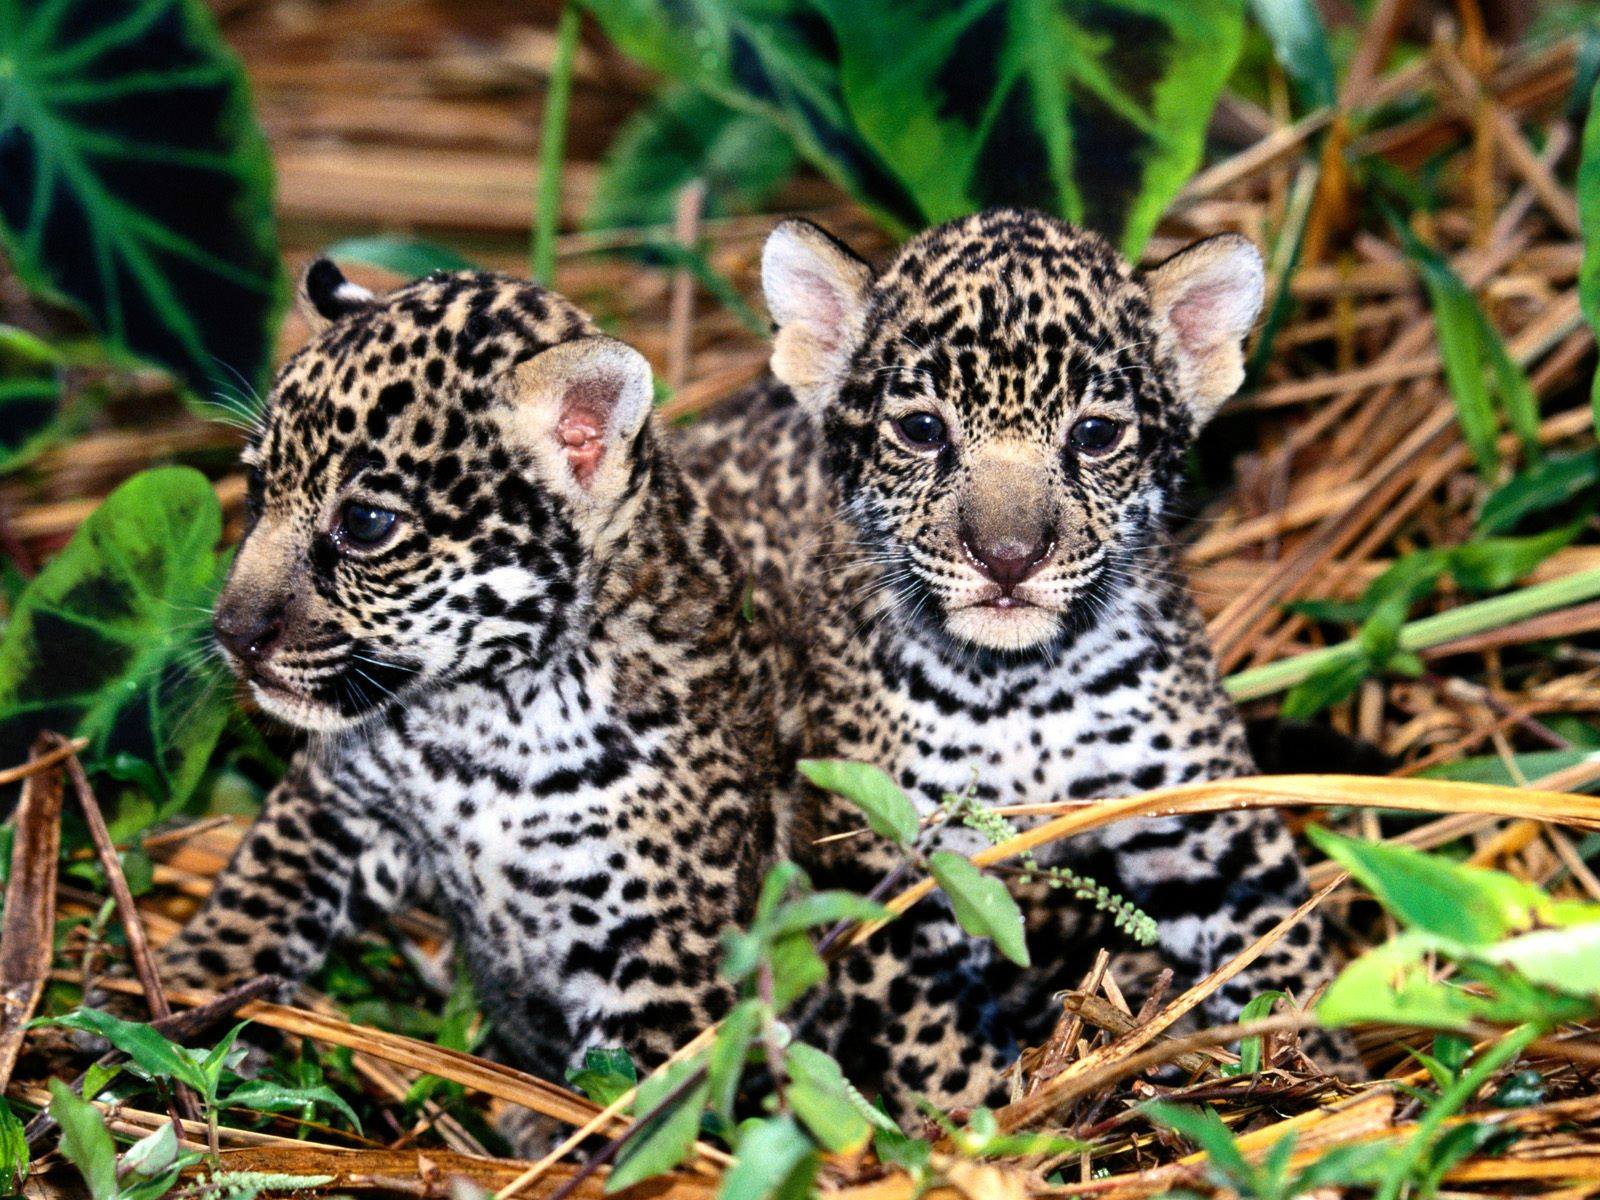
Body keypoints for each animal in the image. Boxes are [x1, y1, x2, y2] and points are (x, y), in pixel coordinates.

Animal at [158, 262, 796, 1087]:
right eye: (258, 490)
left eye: (366, 524)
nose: (231, 634)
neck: (487, 723)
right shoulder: (332, 802)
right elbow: (253, 895)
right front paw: (176, 1001)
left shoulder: (662, 965)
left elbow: (630, 1098)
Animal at [677, 207, 1359, 1100]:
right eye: (922, 430)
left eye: (1095, 435)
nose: (1007, 557)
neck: (1025, 689)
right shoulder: (888, 866)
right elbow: (937, 1050)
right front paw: (992, 1118)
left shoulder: (1206, 821)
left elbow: (1279, 949)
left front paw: (1327, 1071)